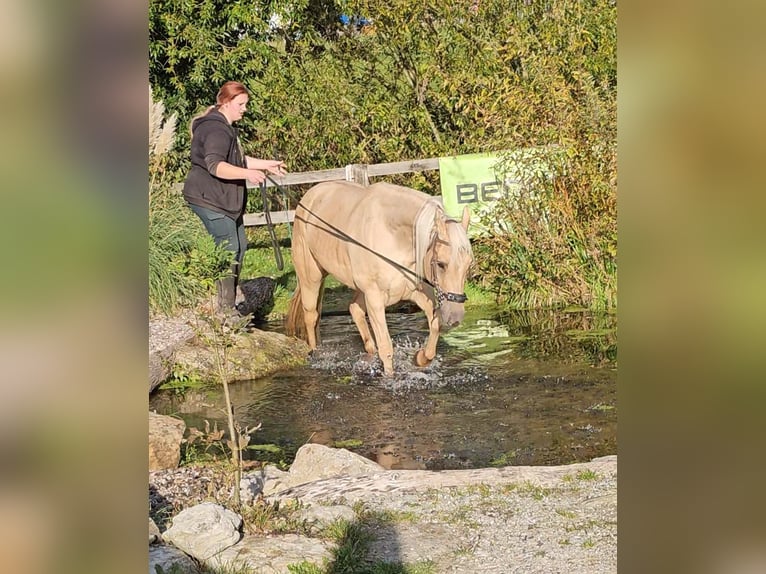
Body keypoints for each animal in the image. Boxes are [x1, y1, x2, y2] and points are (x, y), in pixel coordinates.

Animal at [285, 180, 473, 376]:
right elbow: (386, 348)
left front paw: (420, 357)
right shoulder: (375, 299)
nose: (456, 316)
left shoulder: (417, 293)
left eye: (469, 266)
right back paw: (314, 354)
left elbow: (435, 326)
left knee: (354, 310)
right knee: (311, 316)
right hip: (311, 277)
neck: (393, 237)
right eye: (441, 264)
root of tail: (310, 197)